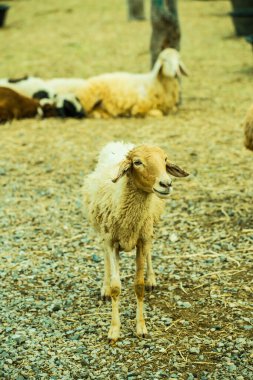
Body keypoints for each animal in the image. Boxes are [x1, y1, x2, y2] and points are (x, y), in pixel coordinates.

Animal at [83, 140, 190, 342]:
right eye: (137, 162)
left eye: (165, 160)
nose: (166, 184)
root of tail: (120, 144)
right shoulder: (111, 241)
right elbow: (116, 287)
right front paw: (114, 330)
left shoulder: (142, 239)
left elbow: (139, 287)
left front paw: (141, 327)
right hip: (102, 231)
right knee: (105, 258)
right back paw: (104, 287)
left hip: (149, 228)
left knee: (149, 252)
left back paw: (151, 279)